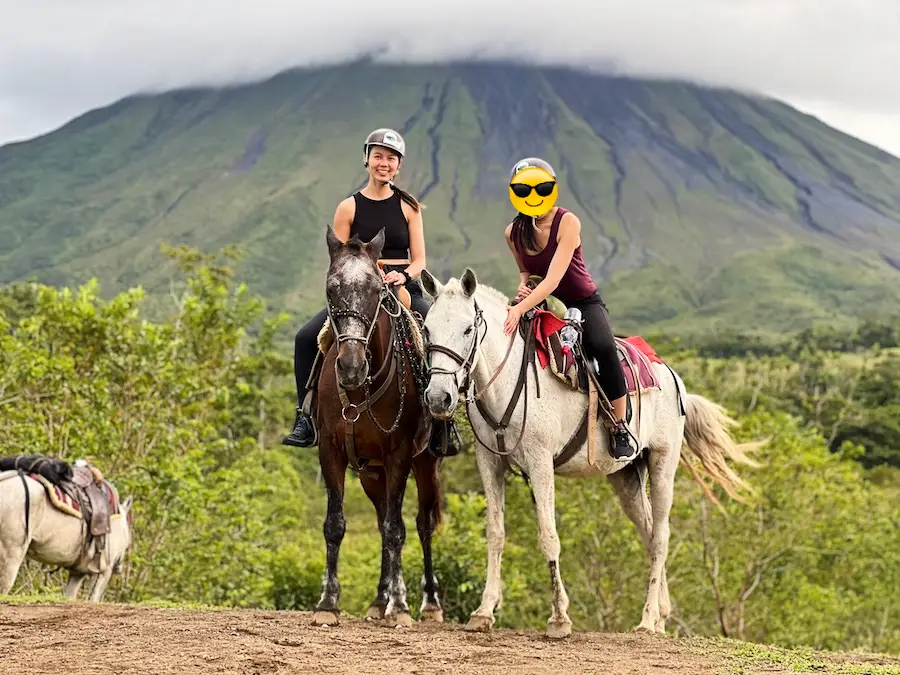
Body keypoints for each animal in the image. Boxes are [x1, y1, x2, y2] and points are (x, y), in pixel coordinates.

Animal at [0, 470, 133, 604]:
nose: (118, 567)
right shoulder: (104, 572)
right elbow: (93, 600)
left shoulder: (77, 572)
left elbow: (70, 596)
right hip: (12, 554)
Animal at [310, 226, 446, 628]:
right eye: (331, 289)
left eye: (376, 290)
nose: (351, 367)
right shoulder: (331, 450)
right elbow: (336, 525)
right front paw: (328, 603)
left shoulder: (399, 453)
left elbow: (396, 529)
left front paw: (400, 607)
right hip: (372, 473)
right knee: (381, 515)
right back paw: (378, 599)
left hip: (425, 464)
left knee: (419, 523)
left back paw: (428, 604)